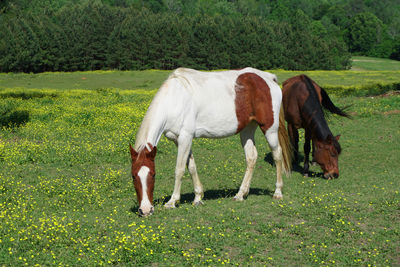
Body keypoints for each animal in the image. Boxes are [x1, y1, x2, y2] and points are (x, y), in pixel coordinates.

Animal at [130, 68, 292, 217]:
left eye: (153, 175)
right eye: (133, 176)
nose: (145, 210)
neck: (175, 98)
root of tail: (269, 78)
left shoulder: (185, 137)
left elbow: (180, 170)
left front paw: (172, 201)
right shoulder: (179, 140)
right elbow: (191, 167)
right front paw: (198, 197)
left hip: (270, 129)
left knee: (277, 154)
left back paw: (278, 192)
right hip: (247, 129)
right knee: (251, 157)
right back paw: (241, 194)